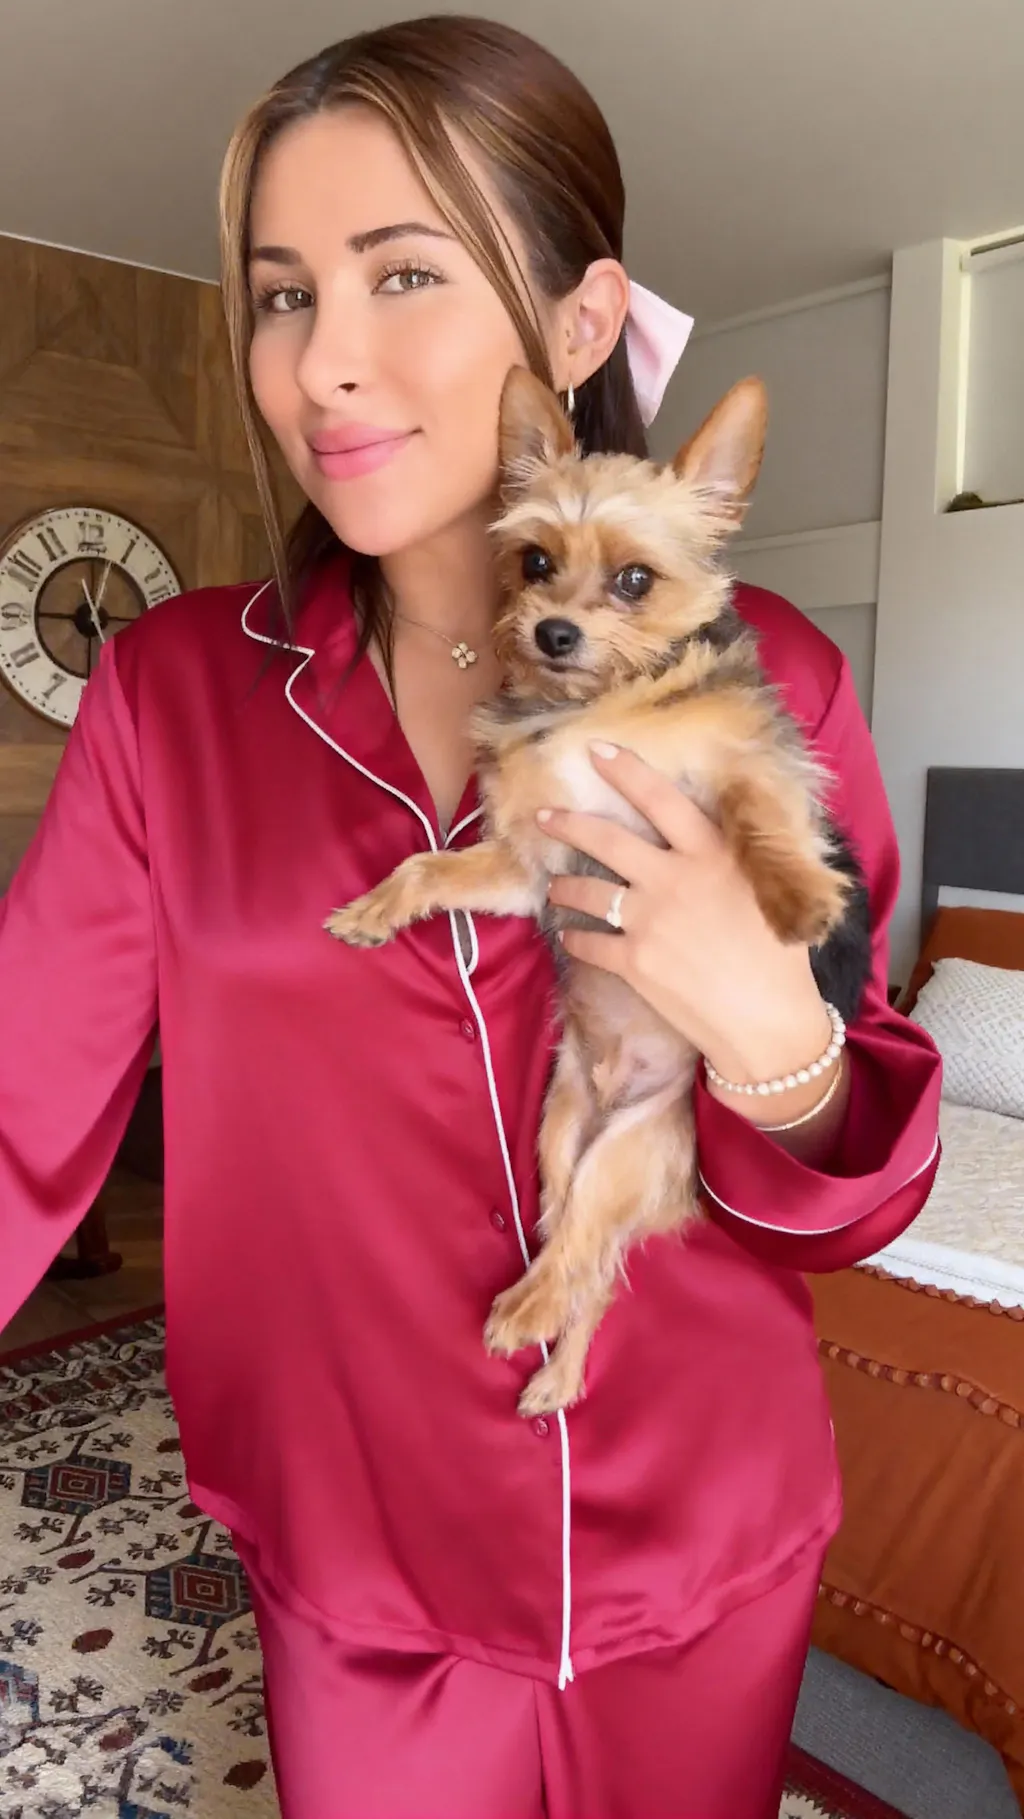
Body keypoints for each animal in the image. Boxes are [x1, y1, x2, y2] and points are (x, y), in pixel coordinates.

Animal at [326, 367, 871, 1416]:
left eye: (634, 580)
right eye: (534, 560)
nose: (553, 632)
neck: (599, 707)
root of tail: (624, 1096)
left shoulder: (742, 765)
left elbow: (759, 811)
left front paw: (793, 897)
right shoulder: (532, 863)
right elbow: (431, 869)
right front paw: (374, 908)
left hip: (635, 1146)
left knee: (588, 1246)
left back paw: (536, 1328)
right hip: (563, 1138)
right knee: (579, 1254)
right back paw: (550, 1350)